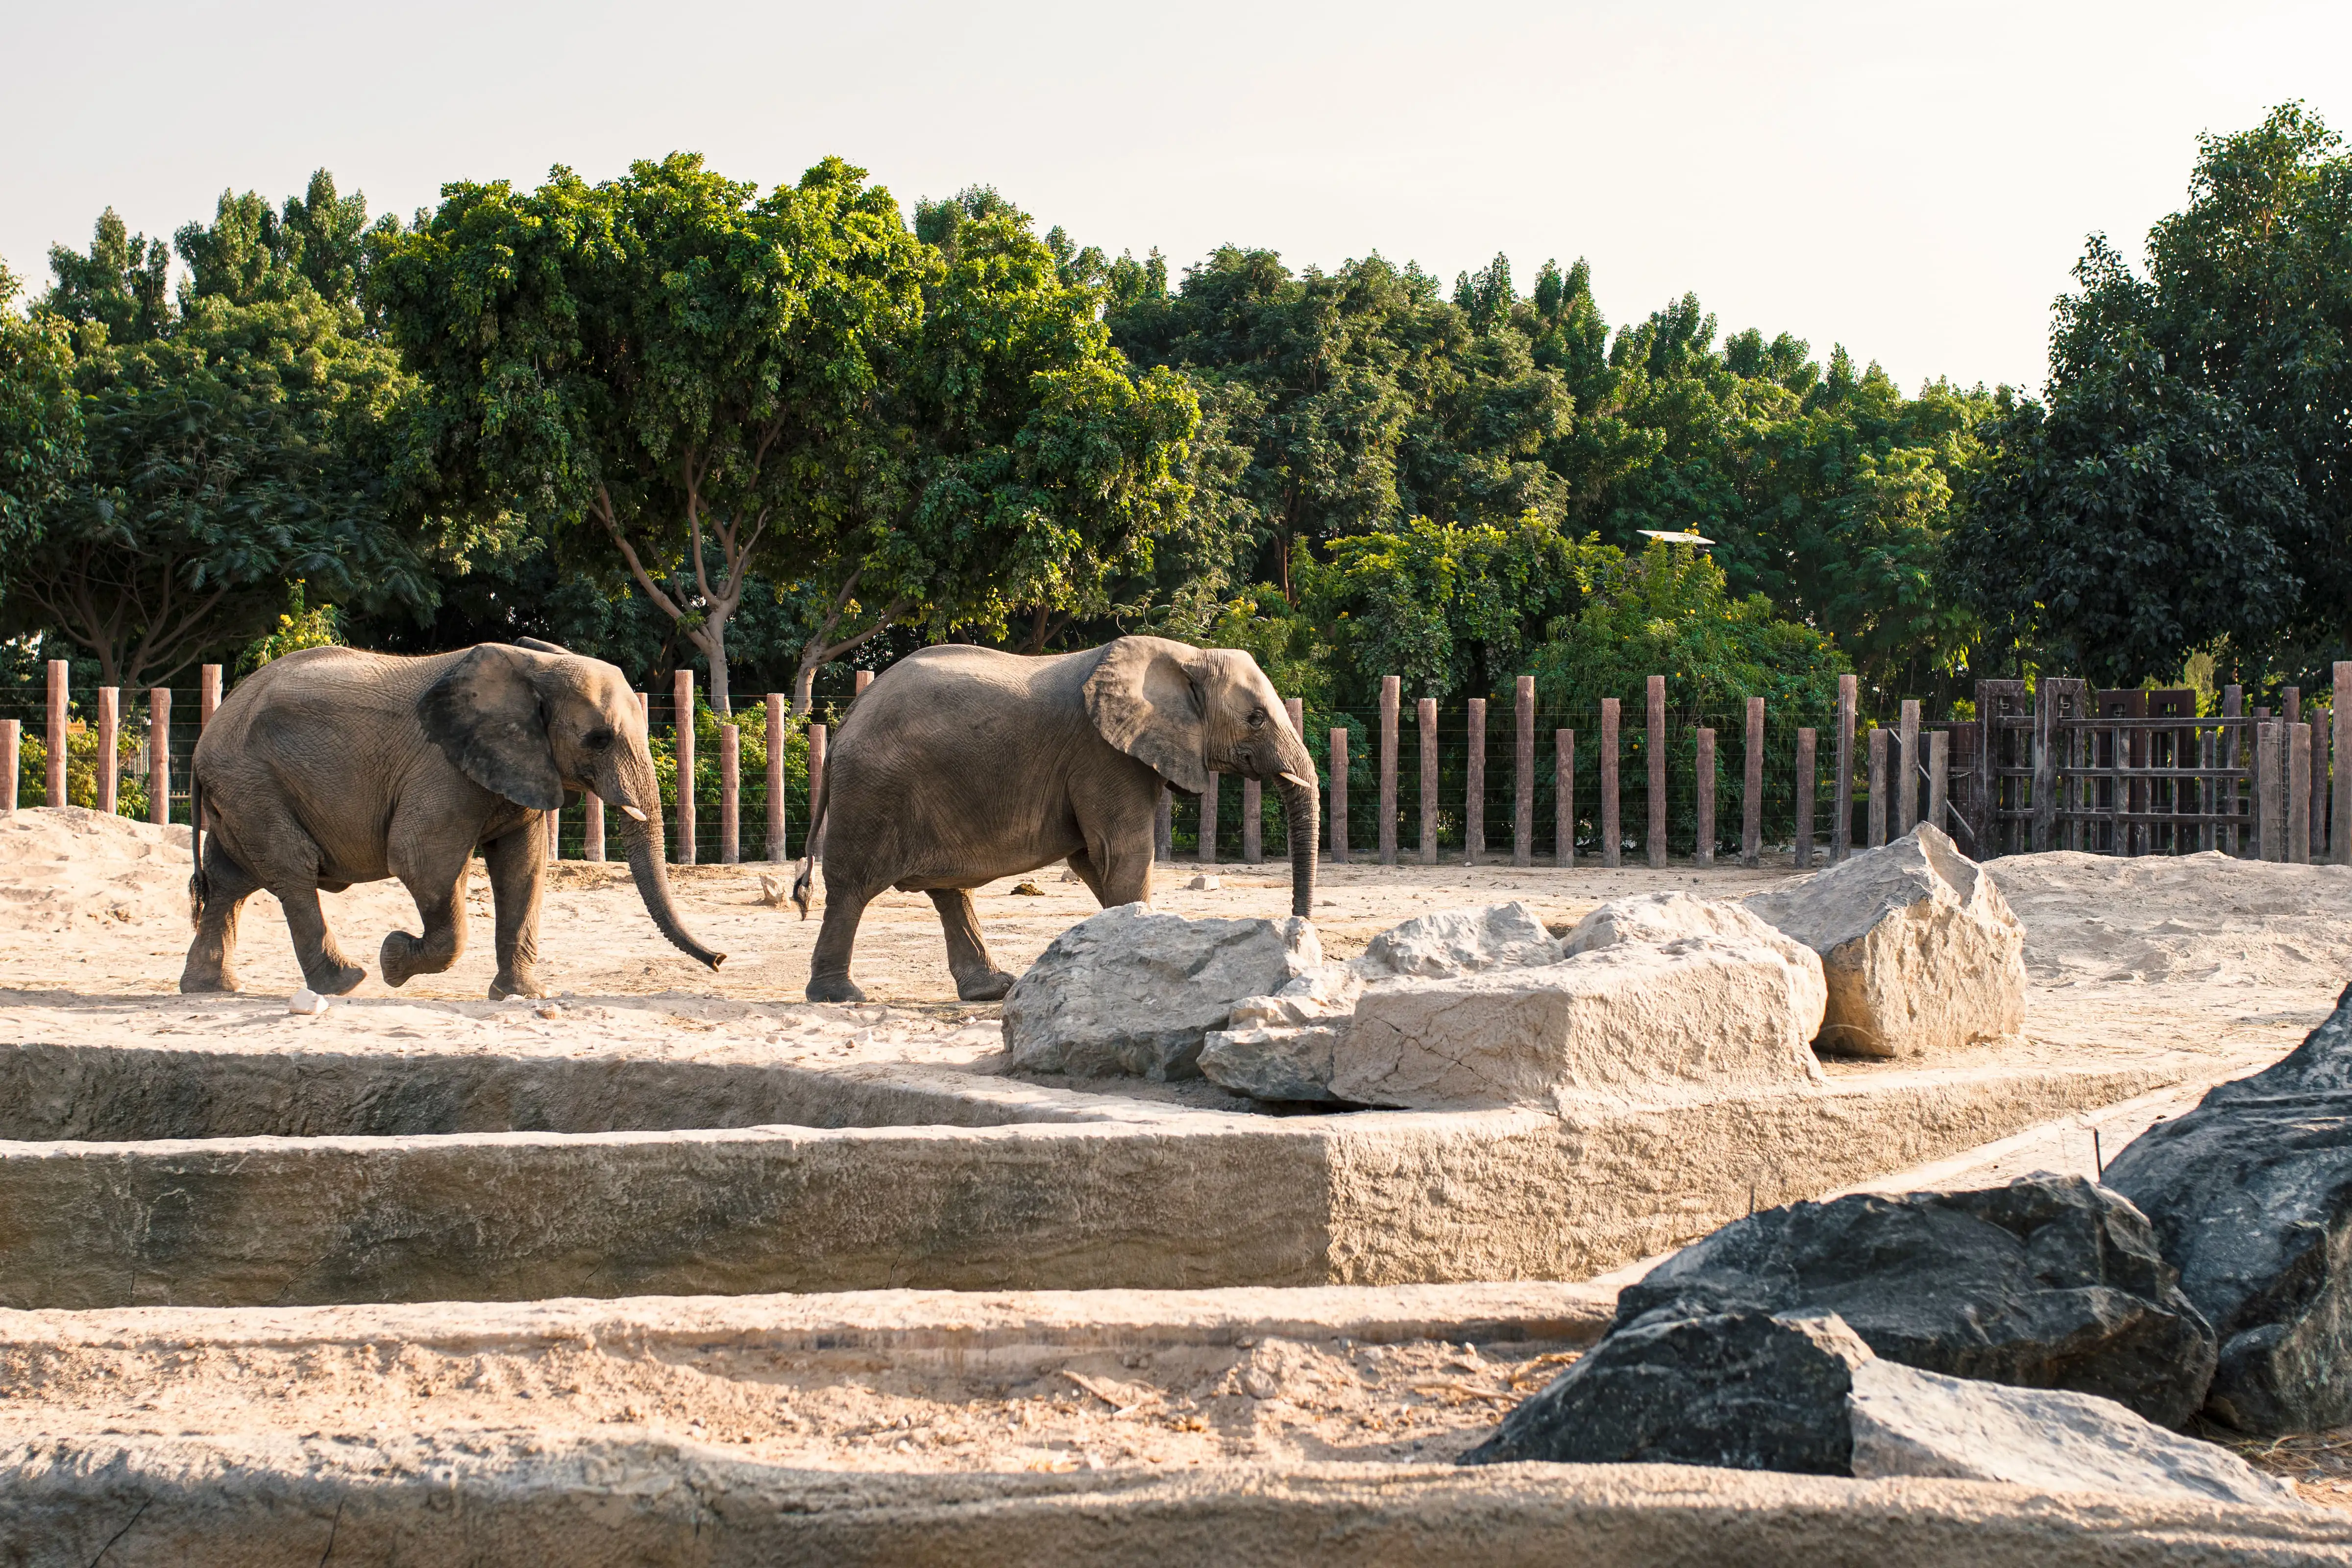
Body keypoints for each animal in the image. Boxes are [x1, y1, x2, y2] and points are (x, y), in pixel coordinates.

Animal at [180, 639, 725, 999]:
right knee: (292, 869)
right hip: (252, 783)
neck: (538, 665)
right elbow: (420, 858)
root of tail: (205, 738)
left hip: (243, 791)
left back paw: (211, 989)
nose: (719, 960)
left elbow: (523, 866)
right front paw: (393, 959)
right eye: (598, 739)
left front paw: (522, 997)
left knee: (230, 881)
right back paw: (348, 981)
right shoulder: (442, 767)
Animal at [791, 635, 1317, 1004]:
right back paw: (840, 997)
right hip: (873, 791)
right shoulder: (1103, 753)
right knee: (852, 888)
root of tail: (844, 724)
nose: (1301, 931)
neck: (1187, 655)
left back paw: (992, 991)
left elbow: (1094, 860)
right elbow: (1123, 854)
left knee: (949, 891)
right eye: (1255, 719)